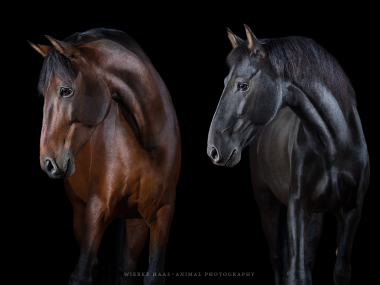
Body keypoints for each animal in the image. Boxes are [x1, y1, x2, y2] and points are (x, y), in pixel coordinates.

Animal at [29, 28, 180, 284]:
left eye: (65, 90)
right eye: (42, 94)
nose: (47, 163)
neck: (148, 141)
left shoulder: (163, 213)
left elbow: (151, 276)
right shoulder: (95, 211)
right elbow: (81, 274)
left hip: (136, 222)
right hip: (79, 212)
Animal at [206, 24, 370, 284]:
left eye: (242, 85)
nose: (213, 149)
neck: (335, 144)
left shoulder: (351, 210)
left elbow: (340, 270)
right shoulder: (298, 209)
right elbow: (295, 273)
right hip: (268, 205)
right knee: (278, 260)